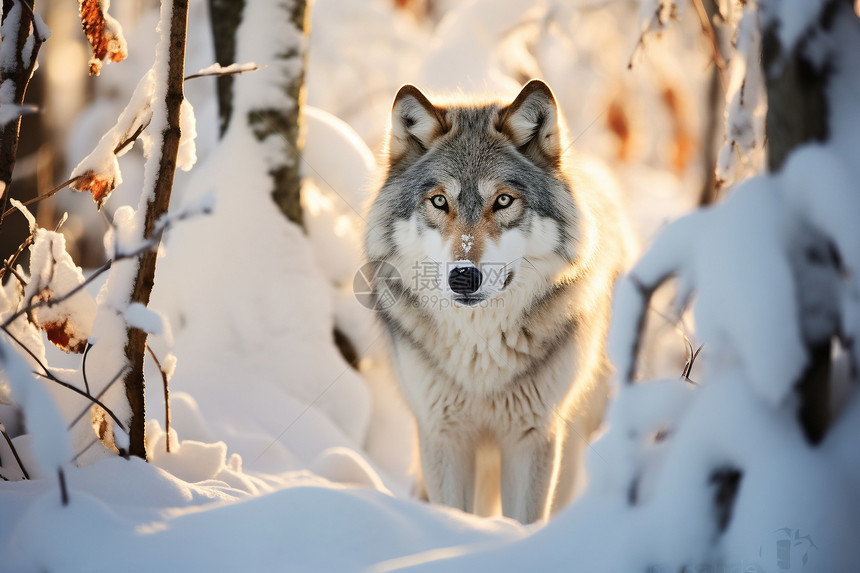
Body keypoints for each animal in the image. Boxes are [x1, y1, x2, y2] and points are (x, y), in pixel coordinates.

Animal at [362, 79, 632, 524]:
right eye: (440, 201)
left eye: (503, 200)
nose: (464, 276)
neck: (480, 352)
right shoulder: (443, 435)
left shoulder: (532, 435)